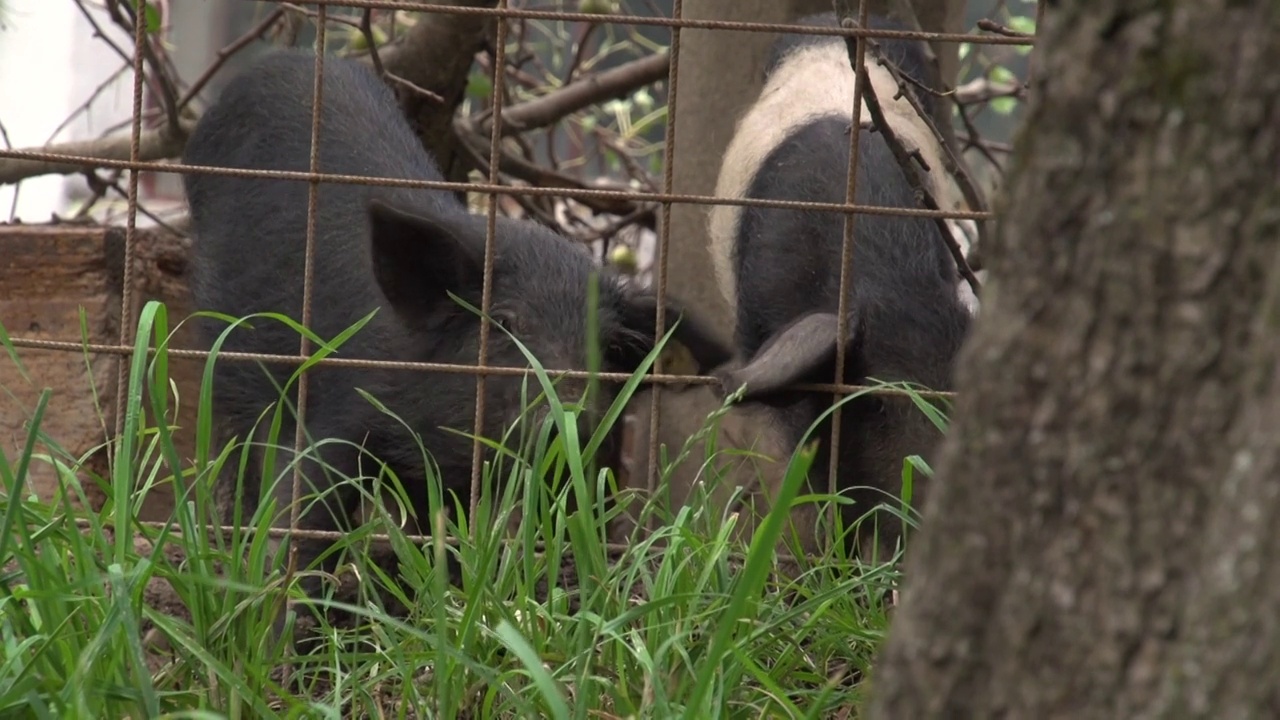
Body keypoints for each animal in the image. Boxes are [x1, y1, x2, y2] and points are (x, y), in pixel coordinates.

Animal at [185, 50, 737, 609]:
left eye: (609, 348)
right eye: (506, 323)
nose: (568, 419)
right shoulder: (335, 415)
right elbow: (308, 513)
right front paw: (286, 613)